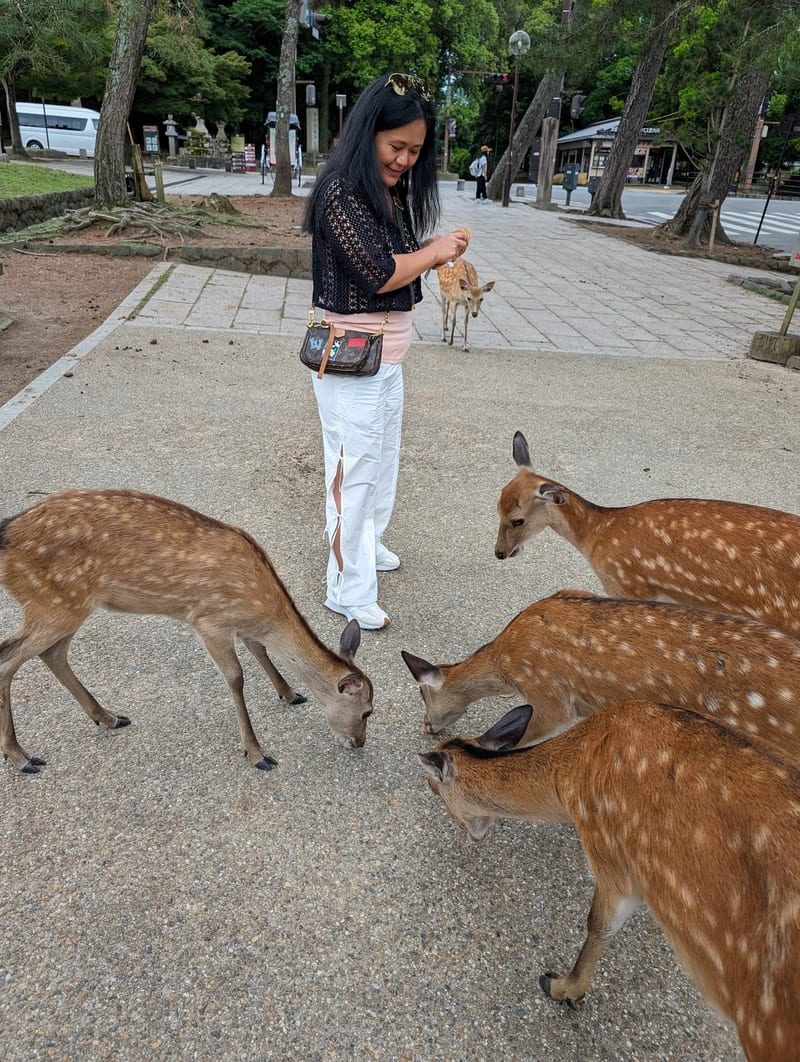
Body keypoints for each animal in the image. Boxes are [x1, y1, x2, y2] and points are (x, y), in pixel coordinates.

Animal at [0, 488, 374, 775]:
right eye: (368, 711)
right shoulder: (208, 620)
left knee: (52, 653)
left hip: (67, 607)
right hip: (53, 604)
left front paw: (291, 693)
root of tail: (5, 538)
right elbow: (236, 677)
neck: (264, 609)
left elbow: (259, 649)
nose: (359, 743)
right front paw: (256, 752)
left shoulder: (240, 624)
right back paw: (21, 757)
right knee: (8, 657)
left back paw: (108, 717)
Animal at [419, 700, 800, 1061]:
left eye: (434, 790)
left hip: (766, 1026)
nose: (469, 837)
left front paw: (561, 988)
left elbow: (598, 924)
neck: (566, 780)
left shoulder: (610, 854)